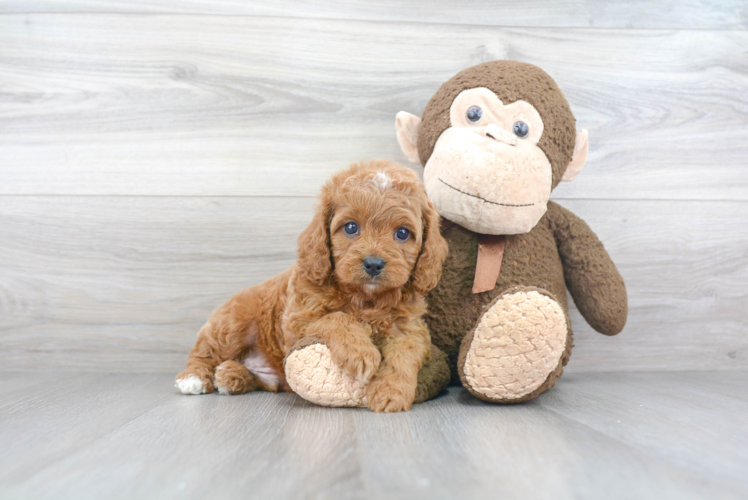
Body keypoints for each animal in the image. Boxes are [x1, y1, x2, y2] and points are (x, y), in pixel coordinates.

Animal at [175, 160, 448, 414]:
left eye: (402, 233)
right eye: (351, 227)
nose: (373, 264)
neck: (365, 298)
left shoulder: (409, 329)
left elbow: (404, 354)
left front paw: (390, 393)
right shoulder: (299, 319)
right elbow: (336, 318)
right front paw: (360, 353)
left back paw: (231, 376)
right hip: (234, 324)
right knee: (206, 350)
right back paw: (194, 378)